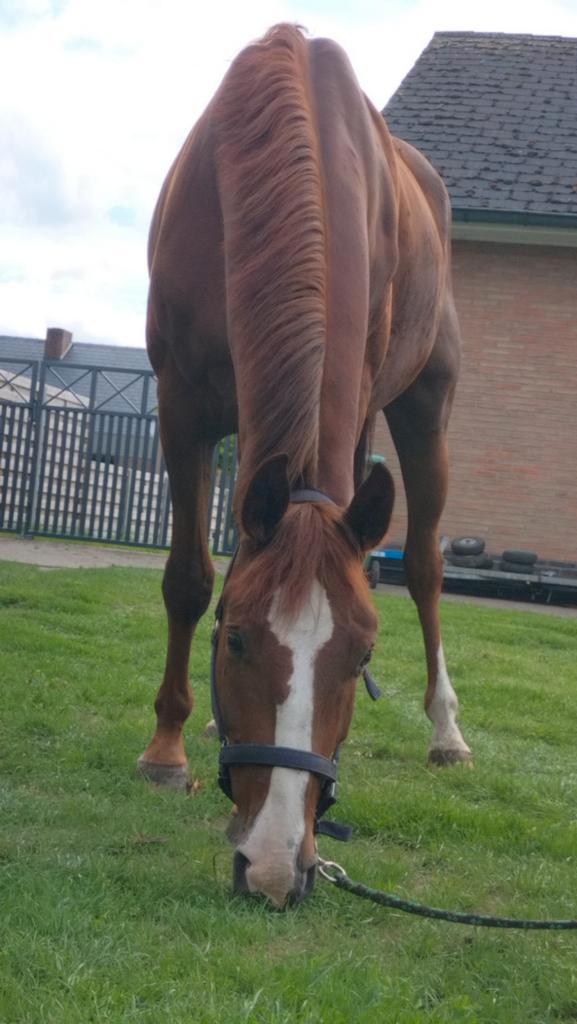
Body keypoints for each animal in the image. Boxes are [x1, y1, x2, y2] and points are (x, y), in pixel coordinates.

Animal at [139, 24, 471, 908]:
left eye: (362, 658)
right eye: (237, 642)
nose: (275, 865)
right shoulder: (179, 404)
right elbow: (190, 578)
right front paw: (167, 747)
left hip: (421, 408)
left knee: (422, 566)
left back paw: (446, 729)